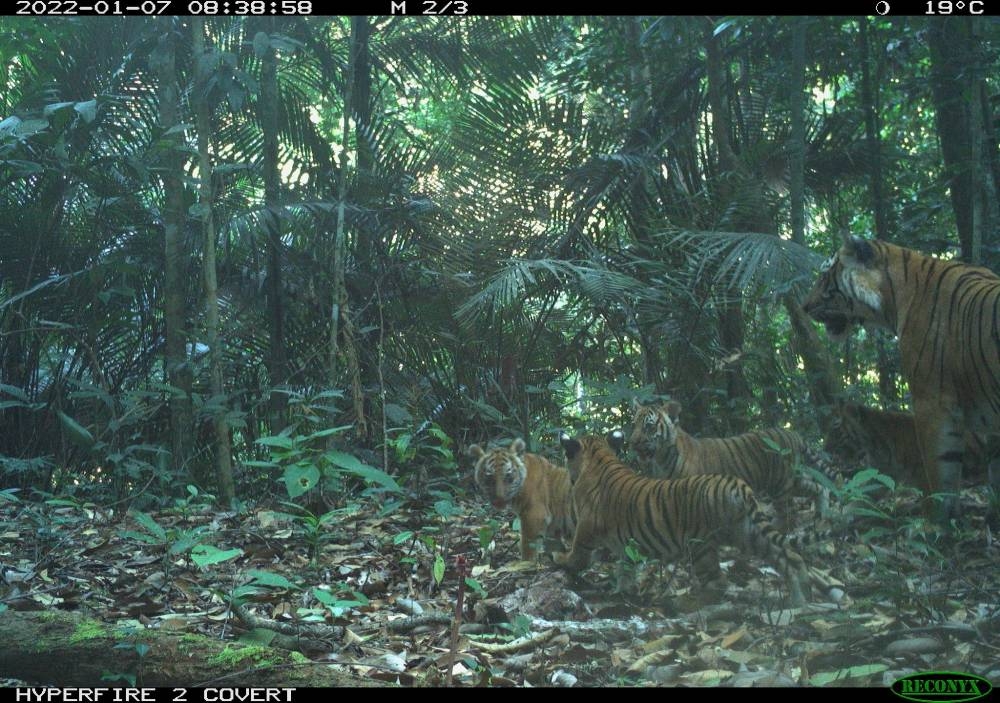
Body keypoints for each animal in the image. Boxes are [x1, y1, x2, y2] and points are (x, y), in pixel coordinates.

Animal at [555, 433, 816, 606]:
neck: (599, 457)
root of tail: (737, 486)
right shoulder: (627, 545)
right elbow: (625, 568)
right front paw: (622, 591)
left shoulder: (585, 531)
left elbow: (577, 556)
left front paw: (560, 559)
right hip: (748, 533)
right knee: (787, 557)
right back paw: (800, 599)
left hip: (701, 547)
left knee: (718, 581)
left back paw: (693, 603)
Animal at [627, 399, 841, 526]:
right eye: (634, 424)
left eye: (649, 426)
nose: (632, 442)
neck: (660, 458)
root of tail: (792, 433)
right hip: (791, 480)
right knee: (819, 486)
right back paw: (823, 513)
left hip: (782, 485)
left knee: (788, 512)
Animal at [802, 233, 1000, 520]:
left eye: (824, 276)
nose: (804, 307)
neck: (894, 298)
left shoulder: (932, 403)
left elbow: (940, 475)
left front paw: (935, 522)